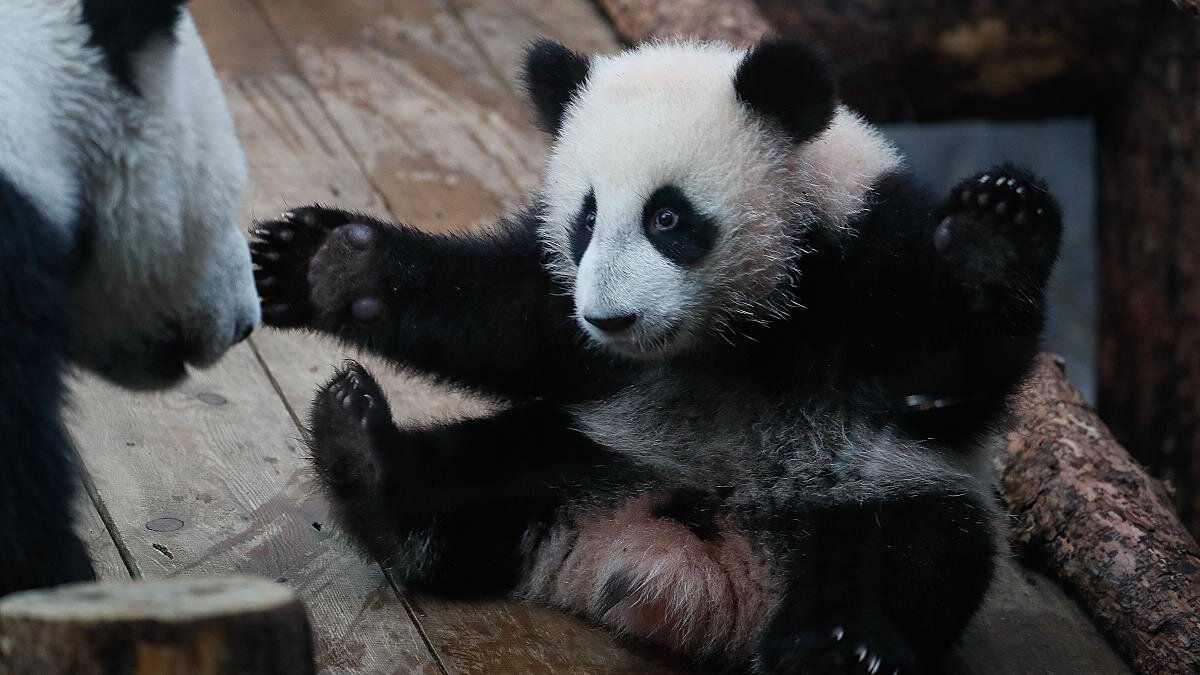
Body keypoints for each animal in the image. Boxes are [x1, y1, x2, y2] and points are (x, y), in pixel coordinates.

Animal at [250, 38, 1060, 672]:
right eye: (586, 217)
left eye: (667, 217)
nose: (609, 318)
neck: (741, 328)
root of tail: (696, 572)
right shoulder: (575, 317)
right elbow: (511, 317)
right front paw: (328, 264)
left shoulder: (867, 248)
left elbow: (952, 377)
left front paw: (992, 237)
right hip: (599, 448)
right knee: (476, 475)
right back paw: (362, 457)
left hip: (875, 492)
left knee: (905, 559)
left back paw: (833, 651)